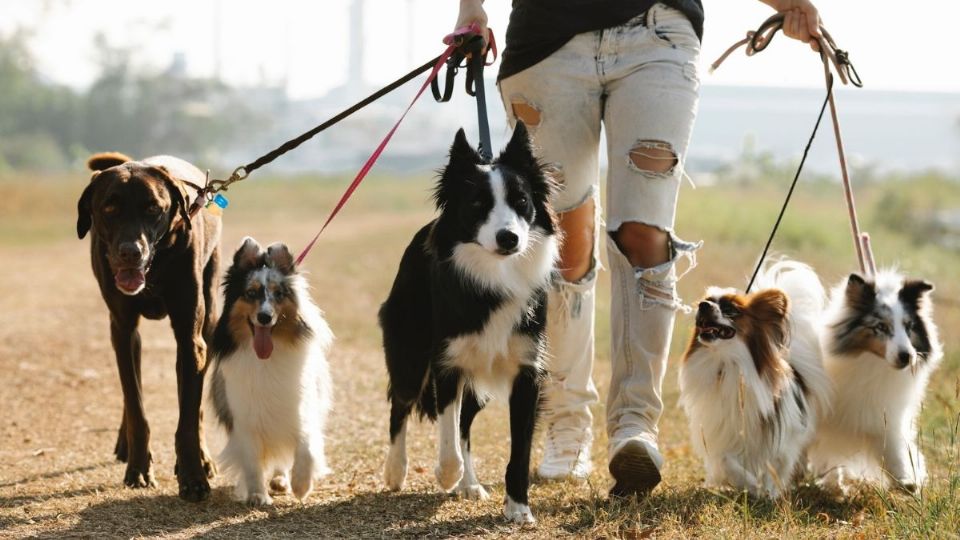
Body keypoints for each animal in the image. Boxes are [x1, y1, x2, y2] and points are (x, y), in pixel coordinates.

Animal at [76, 152, 222, 502]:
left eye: (153, 208)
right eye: (109, 208)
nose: (131, 251)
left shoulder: (190, 337)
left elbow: (188, 418)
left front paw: (193, 476)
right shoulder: (123, 329)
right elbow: (136, 406)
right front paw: (139, 468)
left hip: (209, 321)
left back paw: (203, 458)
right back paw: (125, 442)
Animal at [207, 238, 334, 504]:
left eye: (279, 294)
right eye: (251, 293)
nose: (264, 317)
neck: (266, 359)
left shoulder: (300, 410)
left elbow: (306, 447)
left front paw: (301, 485)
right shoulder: (244, 419)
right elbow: (252, 463)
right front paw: (257, 495)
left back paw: (282, 480)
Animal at [378, 123, 560, 524]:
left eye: (521, 201)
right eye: (477, 204)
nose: (509, 238)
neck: (494, 275)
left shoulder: (527, 370)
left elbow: (518, 448)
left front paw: (518, 508)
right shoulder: (448, 362)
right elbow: (446, 432)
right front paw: (447, 474)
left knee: (465, 423)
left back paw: (470, 483)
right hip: (410, 350)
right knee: (401, 404)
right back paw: (397, 470)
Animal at [680, 260, 828, 498]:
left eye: (731, 309)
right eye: (708, 301)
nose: (703, 305)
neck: (727, 364)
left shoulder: (782, 439)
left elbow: (773, 468)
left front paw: (767, 492)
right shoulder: (722, 433)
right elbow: (726, 461)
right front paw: (750, 485)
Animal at [808, 270, 940, 494]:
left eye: (909, 326)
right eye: (881, 326)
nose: (907, 356)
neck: (871, 364)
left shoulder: (883, 417)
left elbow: (894, 450)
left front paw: (907, 480)